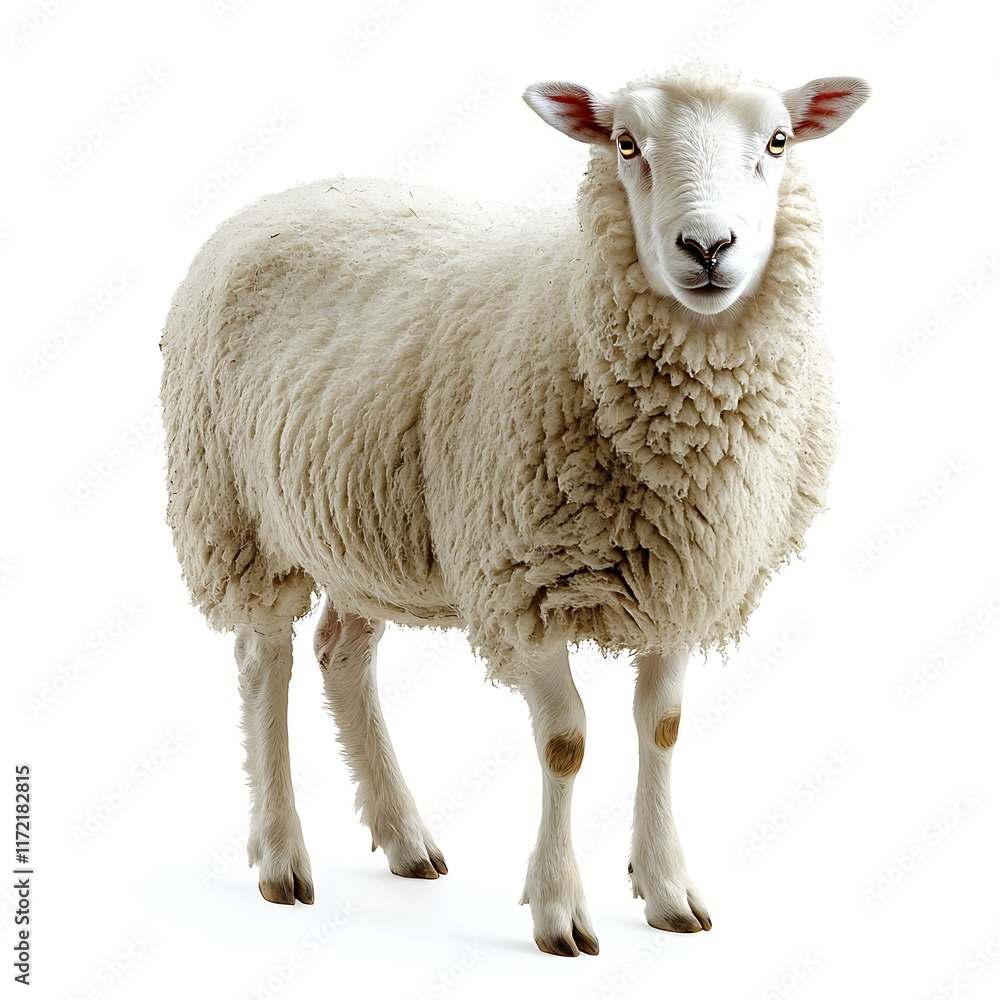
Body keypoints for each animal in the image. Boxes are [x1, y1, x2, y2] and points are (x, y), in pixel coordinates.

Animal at [160, 61, 870, 957]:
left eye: (777, 142)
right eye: (625, 143)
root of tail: (276, 199)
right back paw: (281, 856)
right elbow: (565, 743)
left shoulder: (683, 579)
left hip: (363, 525)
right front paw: (559, 908)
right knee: (265, 661)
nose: (708, 248)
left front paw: (666, 888)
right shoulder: (519, 582)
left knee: (341, 654)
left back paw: (404, 837)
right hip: (234, 516)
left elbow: (663, 727)